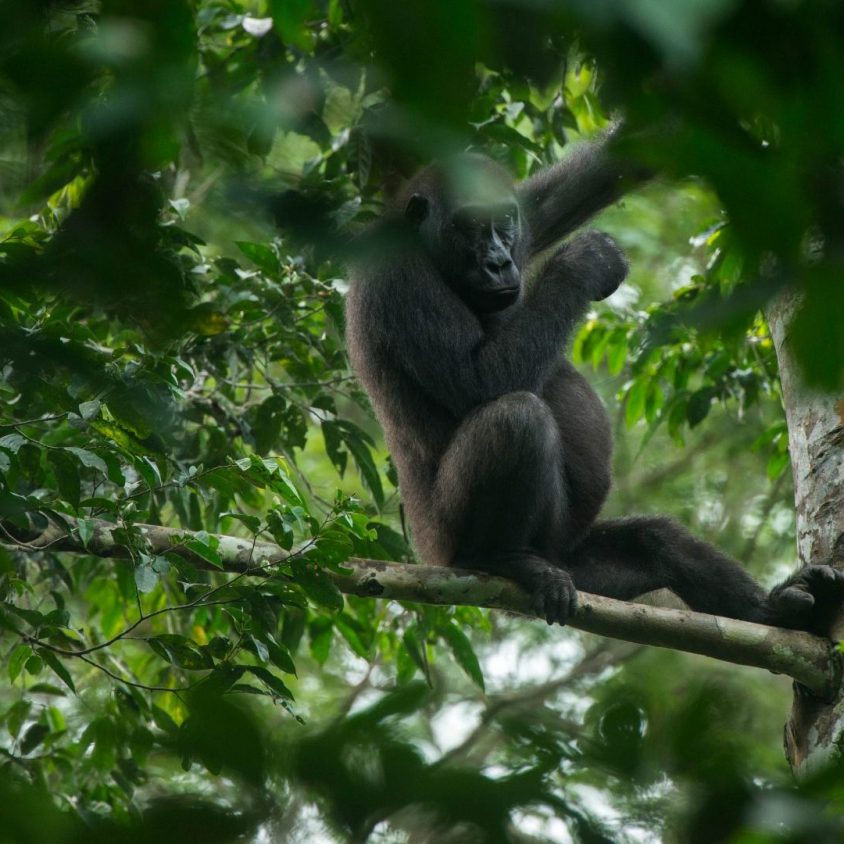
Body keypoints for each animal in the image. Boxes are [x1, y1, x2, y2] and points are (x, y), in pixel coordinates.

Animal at [344, 134, 844, 632]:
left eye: (504, 221)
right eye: (468, 226)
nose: (499, 262)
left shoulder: (528, 216)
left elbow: (596, 176)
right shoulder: (398, 276)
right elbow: (477, 380)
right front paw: (584, 263)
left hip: (581, 567)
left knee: (654, 542)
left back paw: (771, 611)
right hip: (445, 549)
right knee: (517, 417)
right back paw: (497, 559)